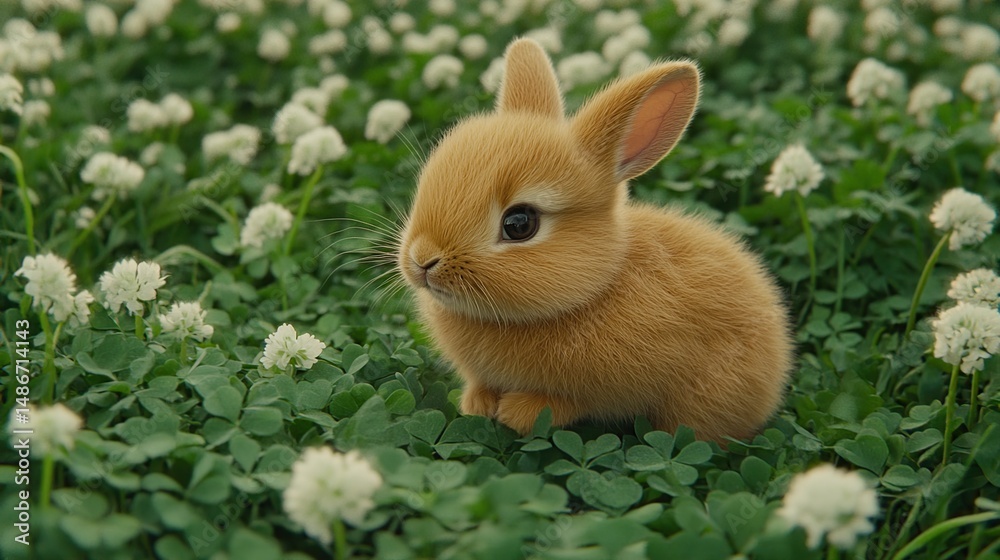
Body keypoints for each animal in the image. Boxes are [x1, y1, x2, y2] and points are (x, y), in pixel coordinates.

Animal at [396, 38, 794, 442]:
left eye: (520, 224)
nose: (423, 260)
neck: (597, 286)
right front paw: (476, 403)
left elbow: (570, 403)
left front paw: (518, 413)